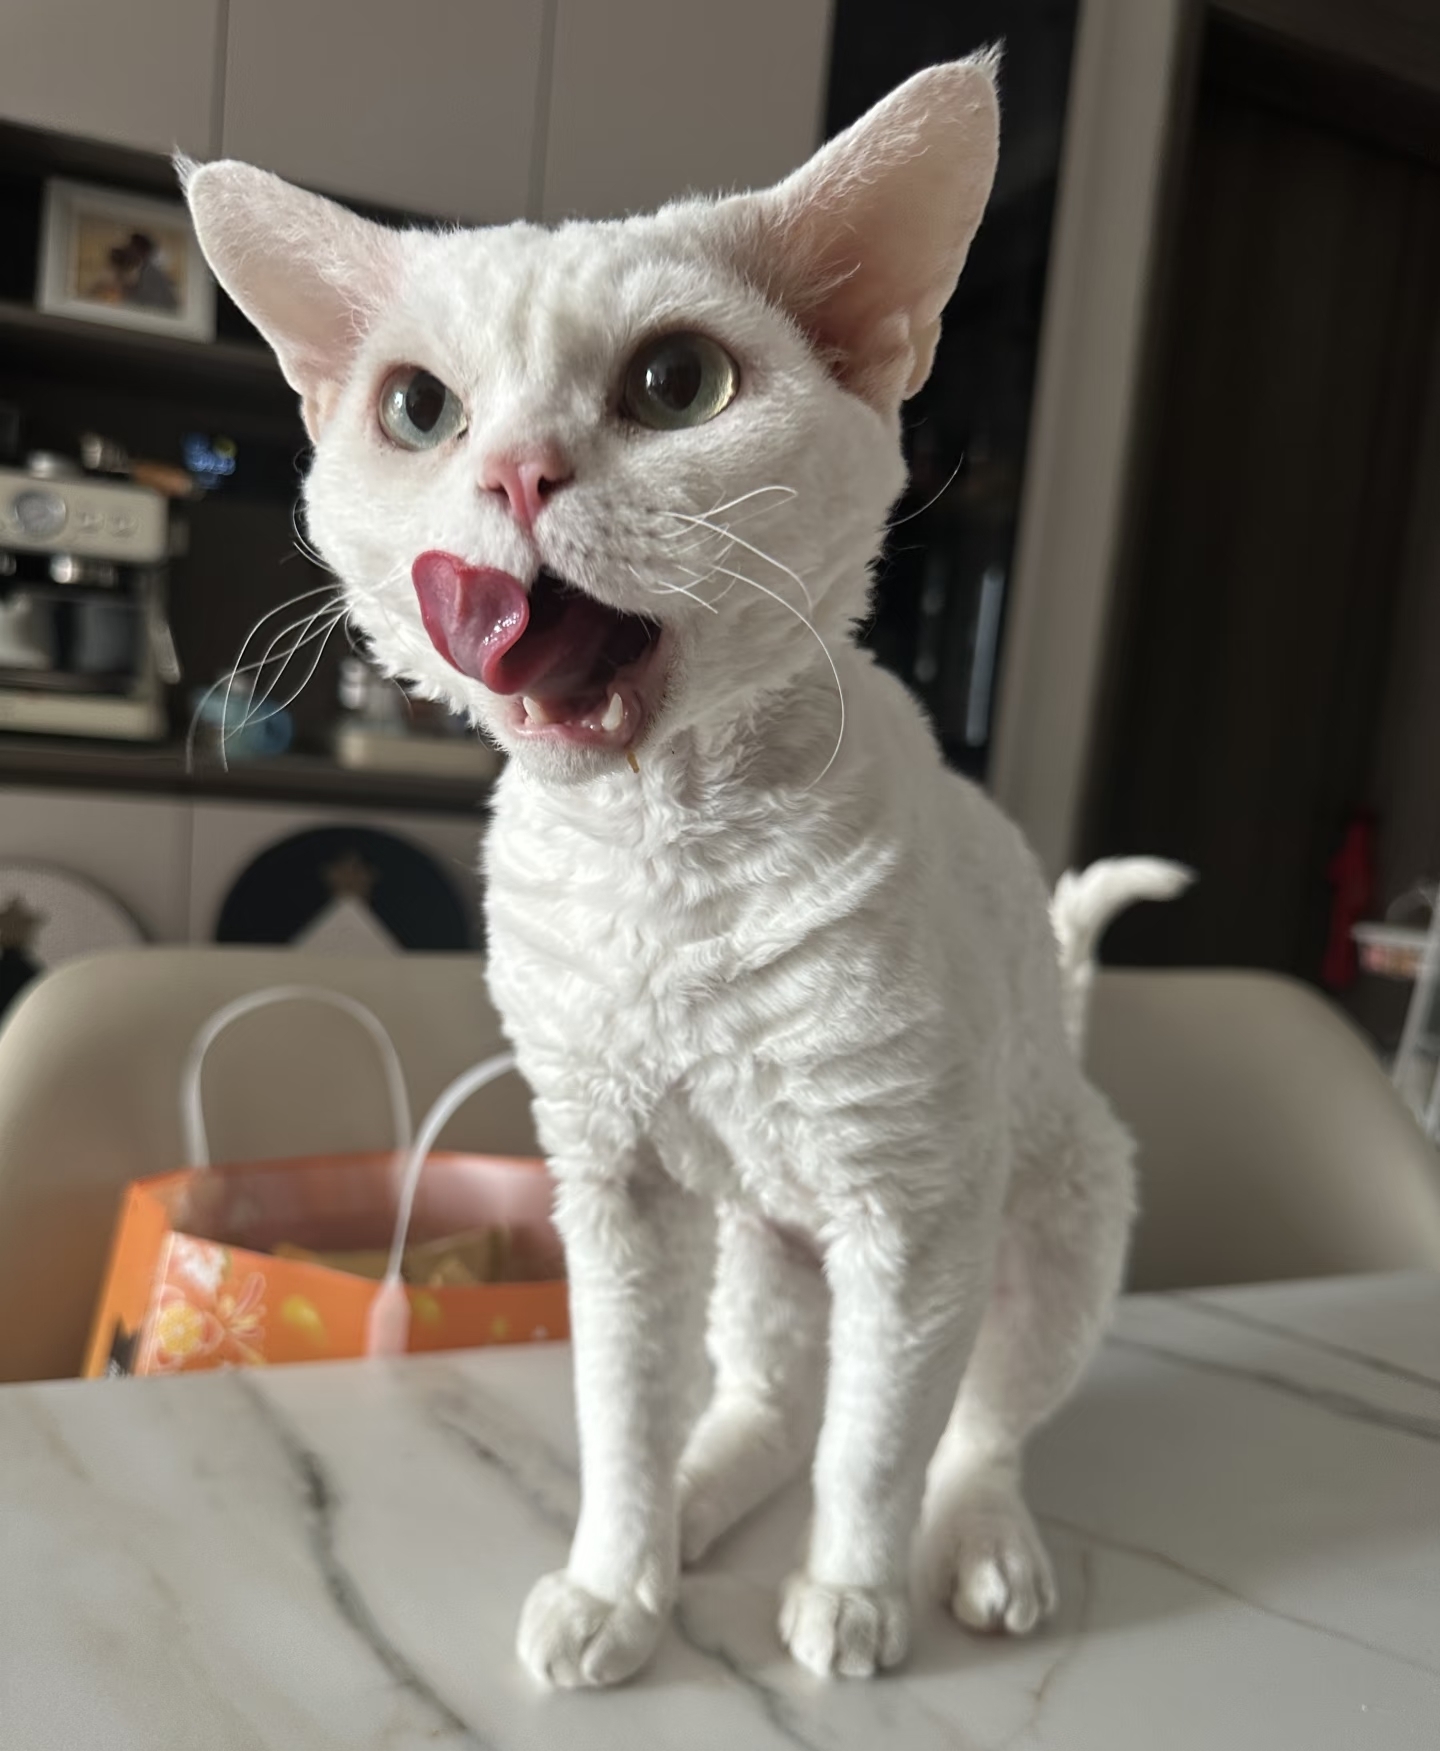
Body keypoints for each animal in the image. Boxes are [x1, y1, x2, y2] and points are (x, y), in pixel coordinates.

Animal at [184, 52, 1187, 1688]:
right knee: (764, 1402)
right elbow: (622, 1418)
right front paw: (619, 1585)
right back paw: (704, 1503)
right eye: (419, 408)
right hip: (754, 1244)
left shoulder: (913, 1212)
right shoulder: (614, 1187)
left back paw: (981, 1549)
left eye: (677, 385)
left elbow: (876, 1447)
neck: (662, 859)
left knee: (975, 1426)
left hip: (1053, 1211)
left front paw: (850, 1596)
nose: (515, 474)